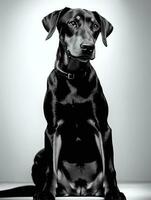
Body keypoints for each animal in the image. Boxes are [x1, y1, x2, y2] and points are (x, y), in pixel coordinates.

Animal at [0, 7, 126, 200]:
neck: (73, 76)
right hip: (39, 155)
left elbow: (110, 166)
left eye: (95, 26)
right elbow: (51, 168)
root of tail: (80, 189)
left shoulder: (104, 127)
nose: (88, 47)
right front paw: (46, 193)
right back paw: (41, 191)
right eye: (73, 23)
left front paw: (113, 192)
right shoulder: (52, 129)